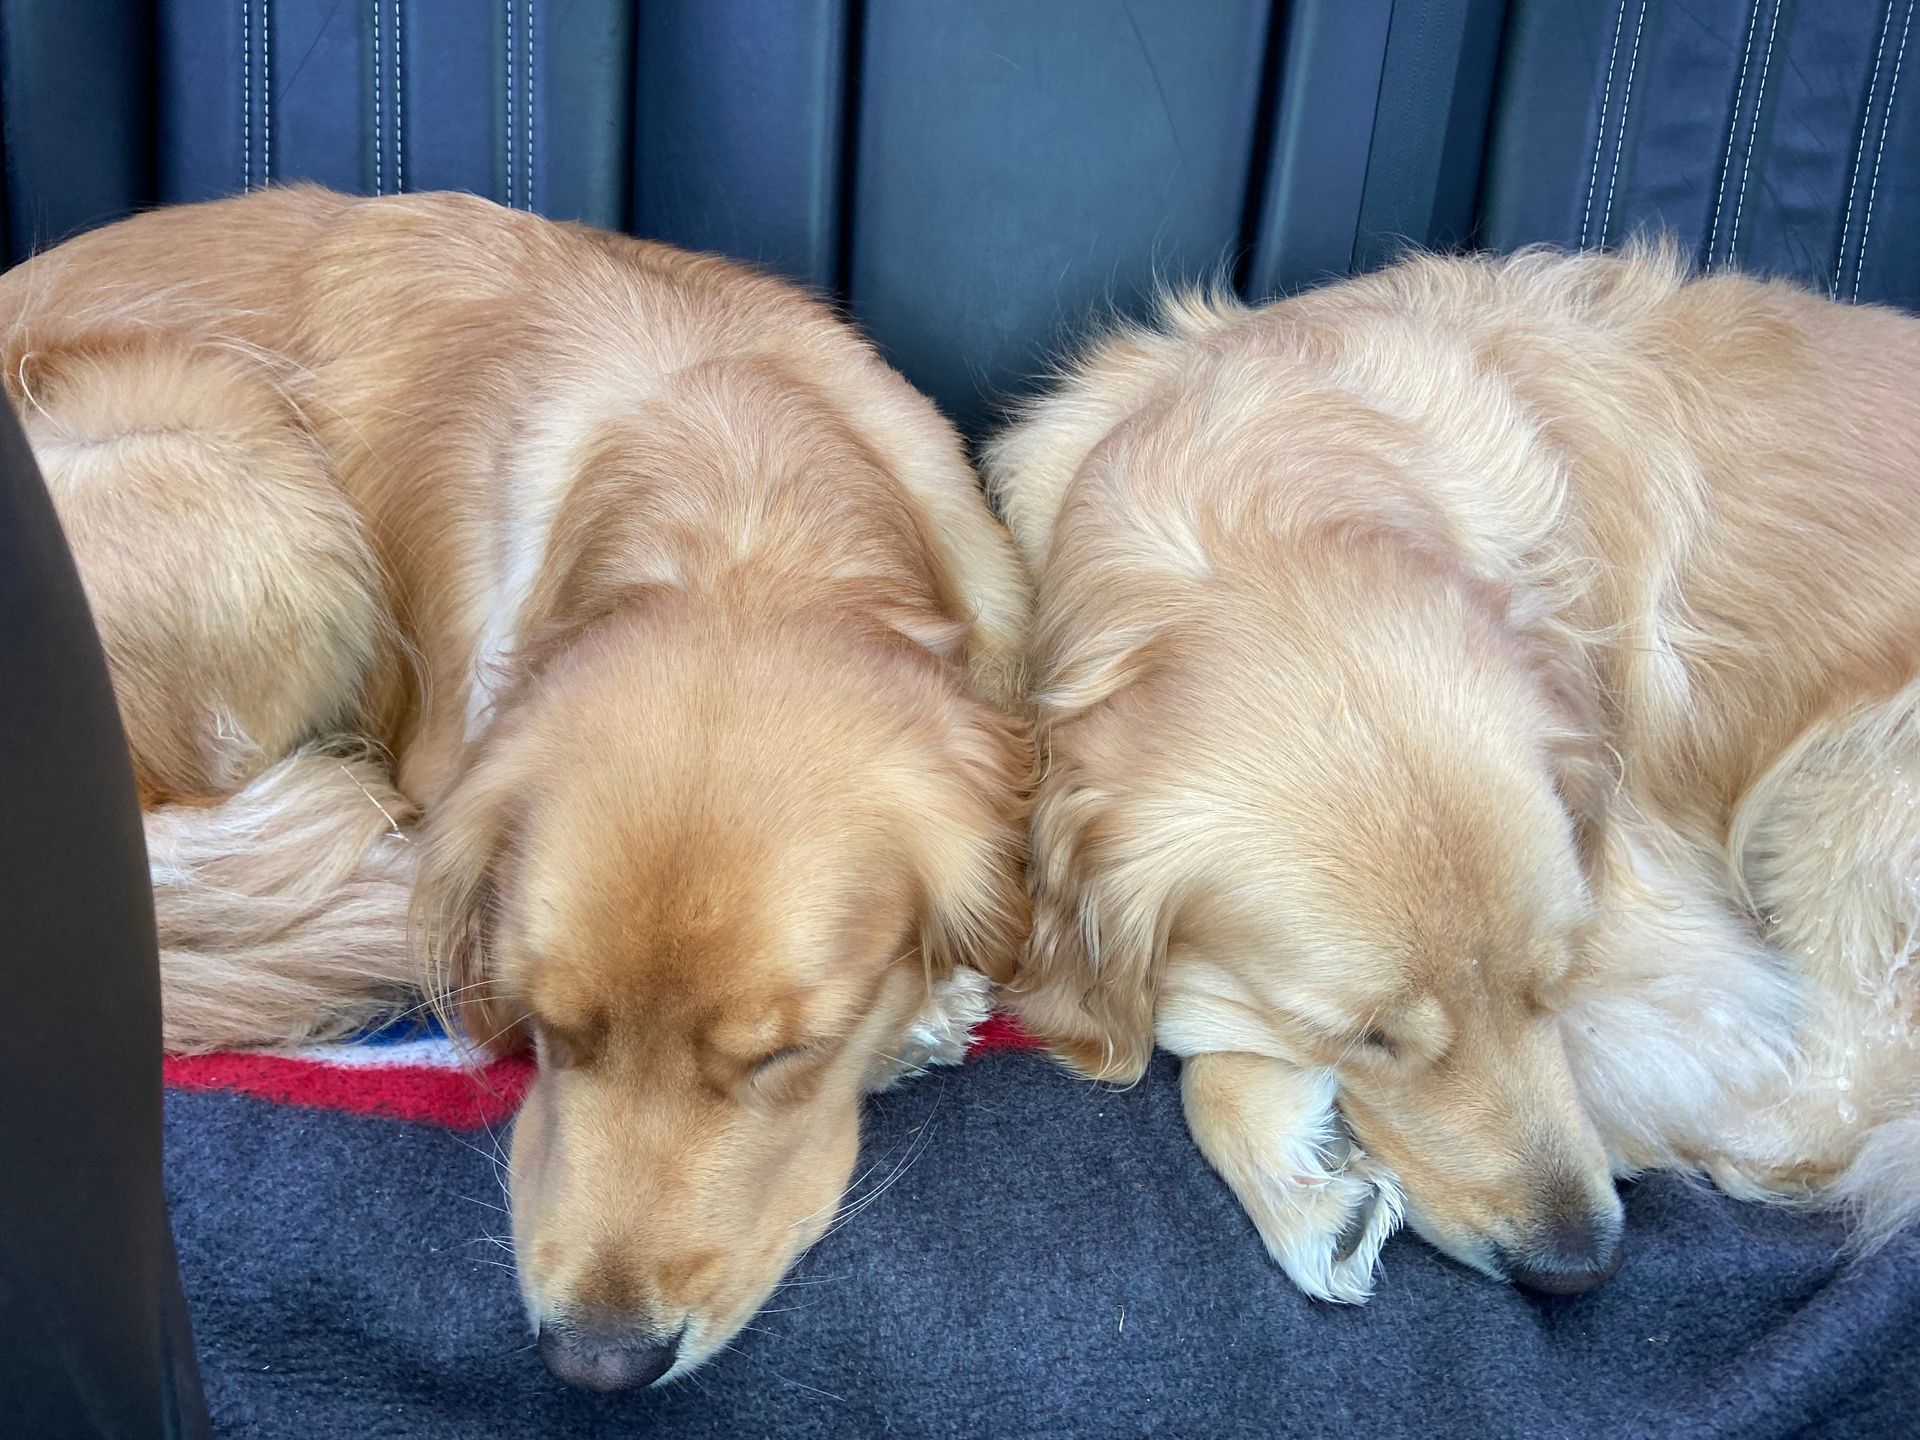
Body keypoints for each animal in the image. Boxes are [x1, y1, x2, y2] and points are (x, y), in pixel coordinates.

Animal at [990, 247, 1920, 1305]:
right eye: (1368, 1037)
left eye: (1553, 978)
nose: (1577, 1266)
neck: (1254, 481)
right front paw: (1311, 1183)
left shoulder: (1688, 955)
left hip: (1846, 784)